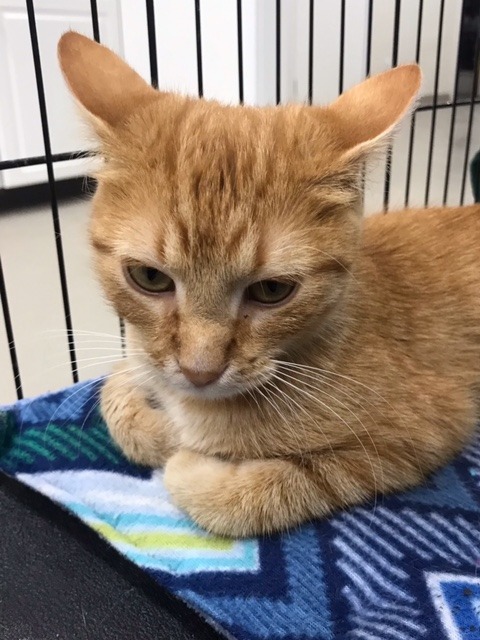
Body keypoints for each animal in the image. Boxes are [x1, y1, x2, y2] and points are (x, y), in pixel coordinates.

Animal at [58, 32, 480, 536]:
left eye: (272, 291)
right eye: (149, 278)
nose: (200, 372)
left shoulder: (410, 438)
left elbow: (272, 486)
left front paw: (186, 460)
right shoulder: (141, 357)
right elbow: (114, 388)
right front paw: (162, 431)